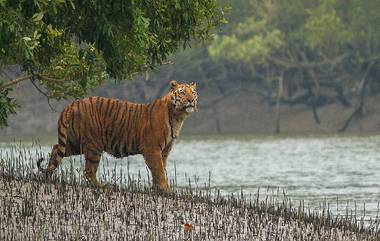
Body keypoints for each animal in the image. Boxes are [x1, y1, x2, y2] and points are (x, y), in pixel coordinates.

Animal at [37, 80, 199, 191]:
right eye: (182, 92)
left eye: (193, 92)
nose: (191, 100)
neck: (178, 117)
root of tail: (72, 104)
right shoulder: (152, 149)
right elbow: (158, 171)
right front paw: (165, 189)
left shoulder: (164, 151)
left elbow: (160, 170)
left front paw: (157, 189)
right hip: (93, 145)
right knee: (88, 170)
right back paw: (102, 186)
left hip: (73, 143)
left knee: (56, 149)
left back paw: (48, 176)